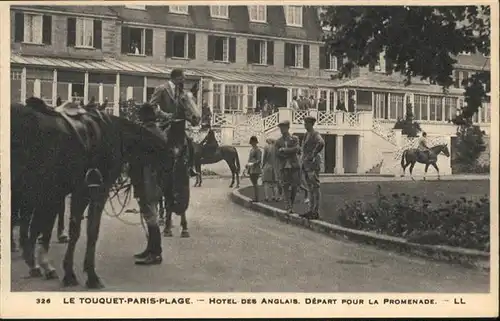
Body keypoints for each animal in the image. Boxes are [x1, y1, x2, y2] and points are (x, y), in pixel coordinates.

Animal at [9, 97, 197, 288]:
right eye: (176, 165)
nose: (178, 202)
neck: (115, 134)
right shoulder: (93, 190)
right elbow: (87, 230)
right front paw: (86, 275)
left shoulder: (64, 192)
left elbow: (59, 227)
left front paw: (56, 268)